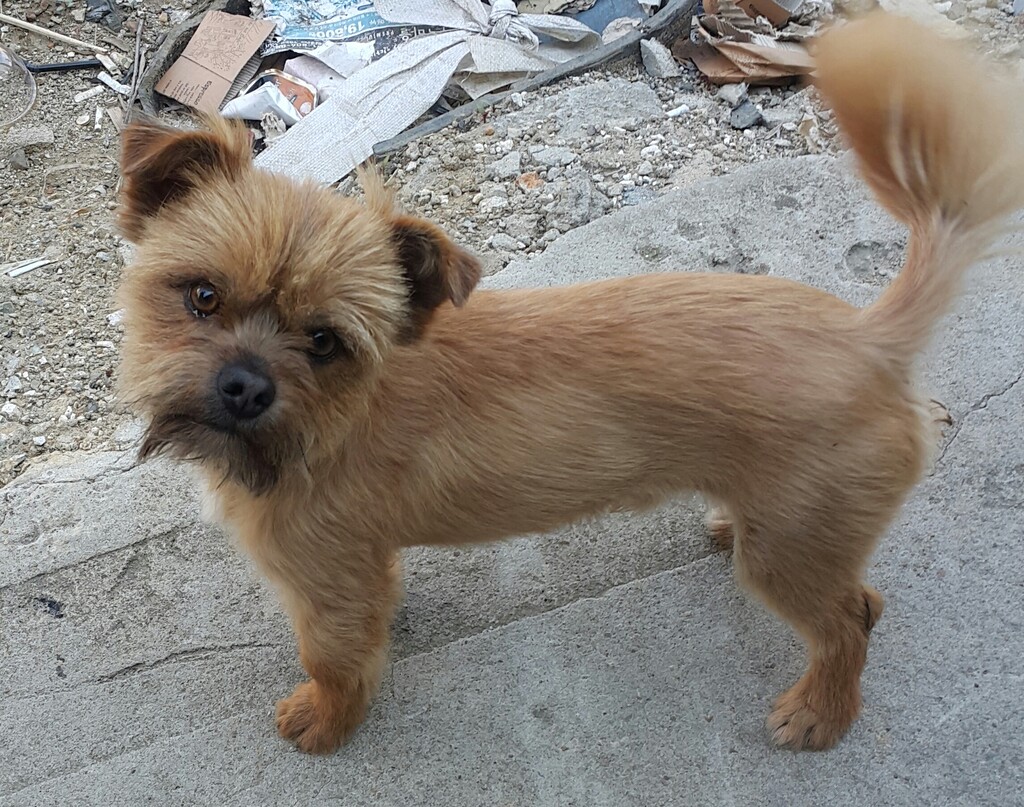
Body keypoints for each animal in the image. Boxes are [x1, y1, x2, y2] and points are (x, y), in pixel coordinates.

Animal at [114, 12, 1024, 754]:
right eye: (202, 296)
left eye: (324, 341)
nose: (243, 388)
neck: (332, 420)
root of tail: (870, 338)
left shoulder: (324, 583)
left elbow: (333, 660)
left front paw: (327, 720)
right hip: (804, 533)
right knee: (860, 598)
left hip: (792, 556)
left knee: (845, 624)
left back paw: (822, 712)